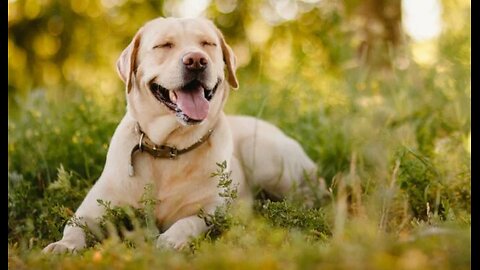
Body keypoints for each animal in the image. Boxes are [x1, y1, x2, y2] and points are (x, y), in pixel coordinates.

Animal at [43, 17, 316, 253]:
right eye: (164, 45)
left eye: (207, 44)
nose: (196, 60)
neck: (168, 148)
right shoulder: (93, 208)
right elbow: (74, 226)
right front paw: (63, 246)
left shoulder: (211, 210)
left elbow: (188, 222)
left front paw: (170, 240)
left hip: (264, 156)